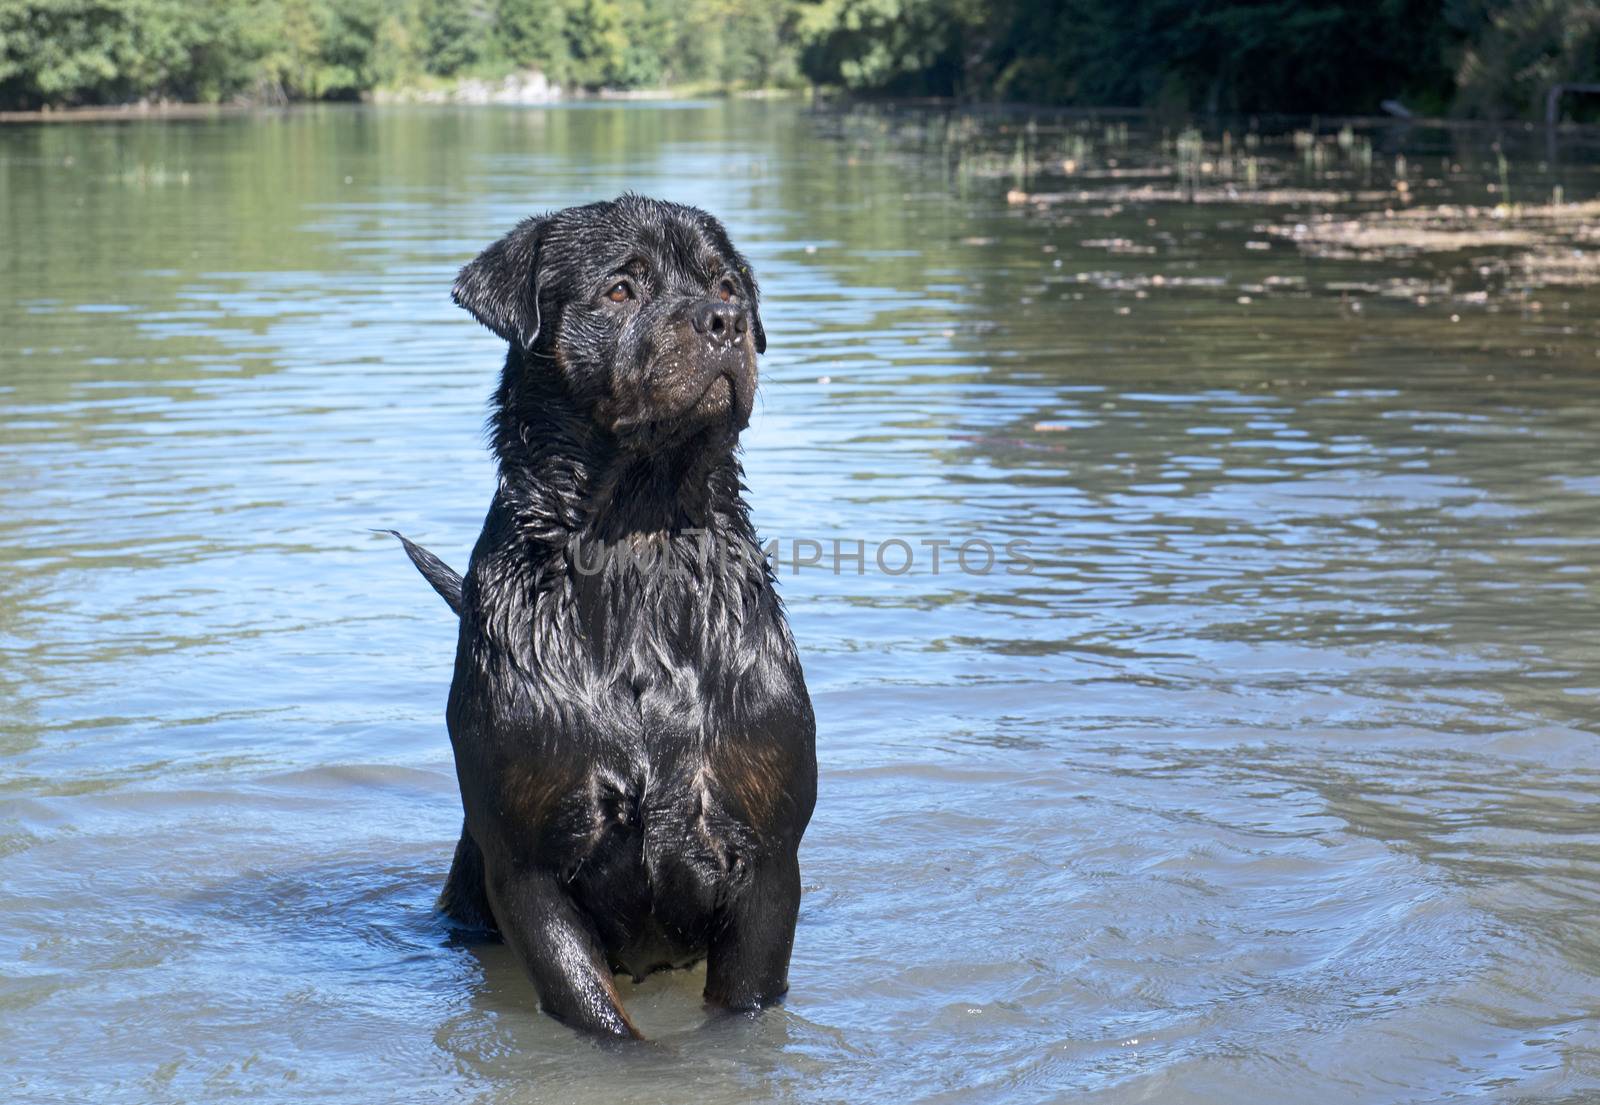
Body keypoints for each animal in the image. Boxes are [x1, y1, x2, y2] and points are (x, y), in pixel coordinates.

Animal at [387, 196, 812, 1036]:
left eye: (725, 283)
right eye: (621, 289)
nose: (724, 320)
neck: (637, 544)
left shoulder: (770, 857)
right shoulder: (529, 870)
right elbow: (597, 1016)